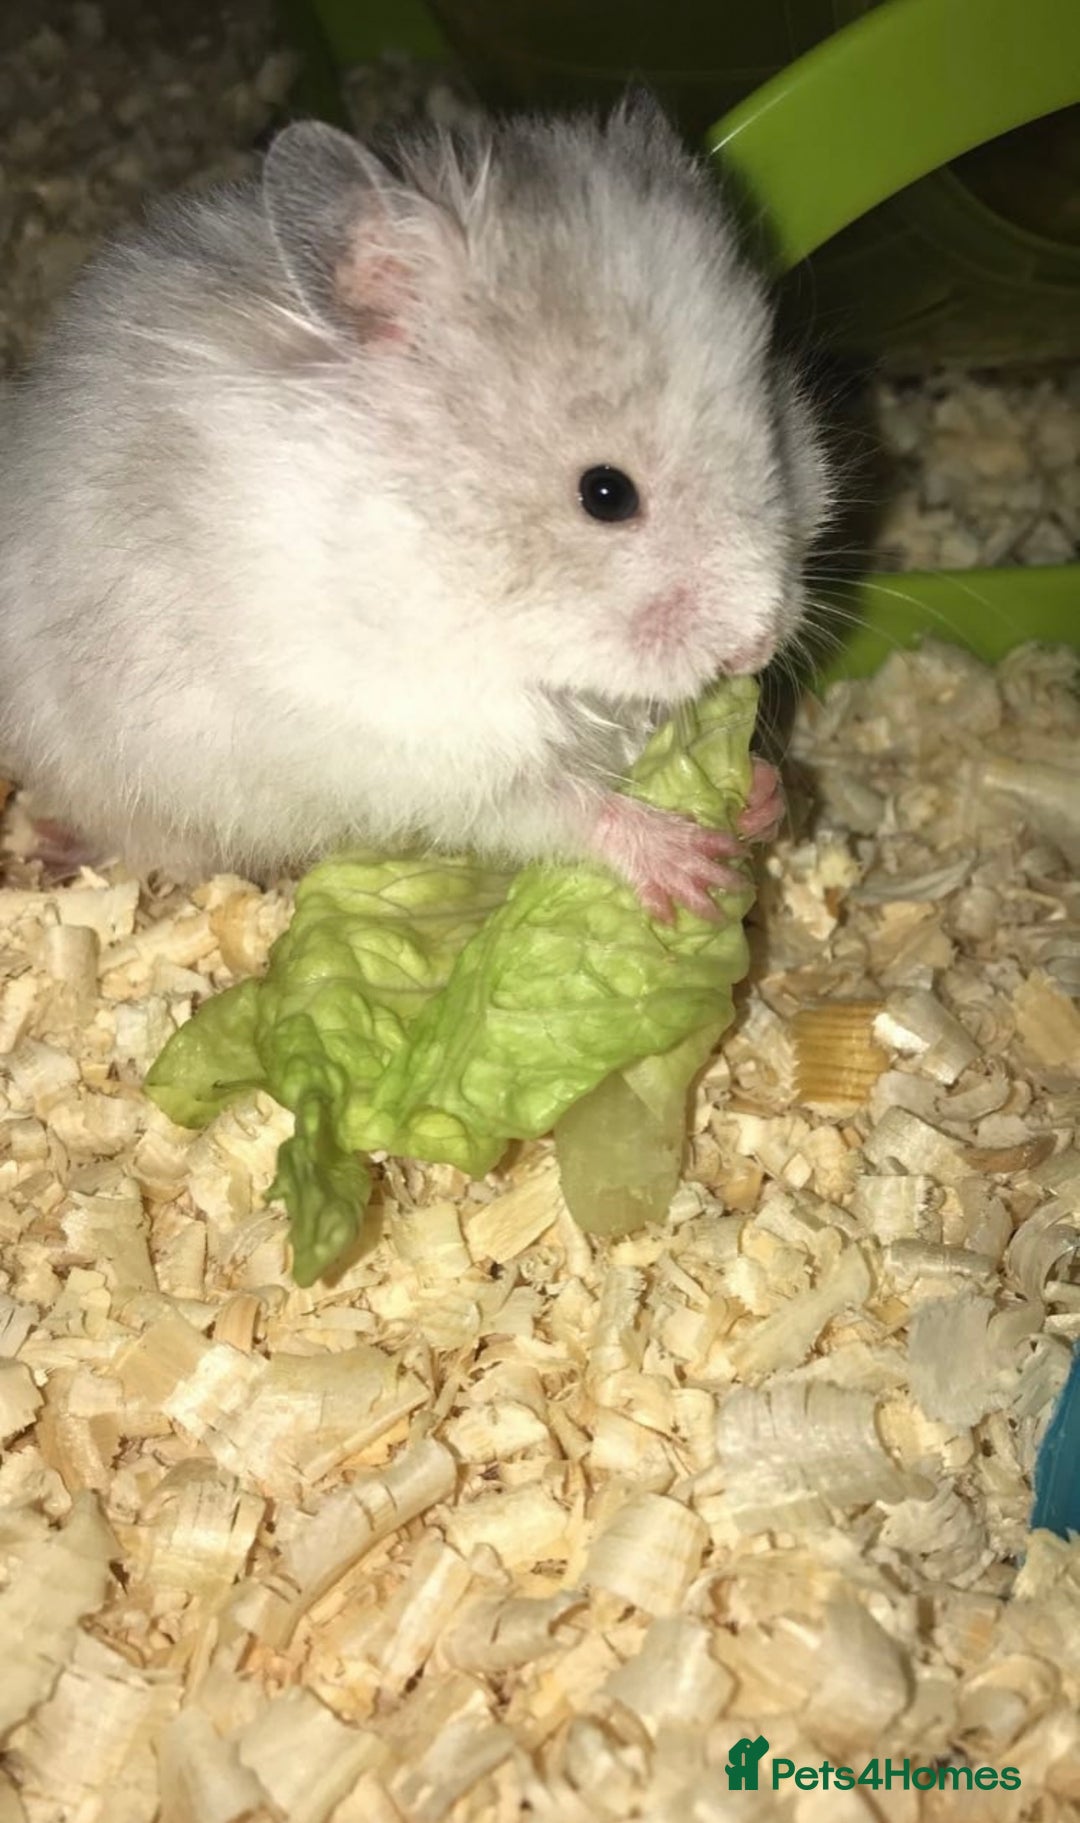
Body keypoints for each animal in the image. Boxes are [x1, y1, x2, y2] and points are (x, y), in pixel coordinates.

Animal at [0, 96, 831, 919]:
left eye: (776, 427)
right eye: (606, 493)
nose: (756, 646)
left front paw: (760, 795)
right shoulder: (417, 737)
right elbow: (551, 804)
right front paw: (694, 867)